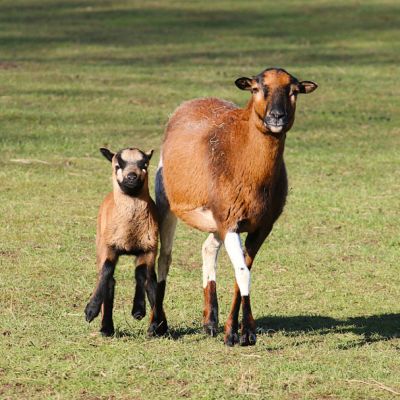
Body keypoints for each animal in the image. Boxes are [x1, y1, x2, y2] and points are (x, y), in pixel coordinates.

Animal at [153, 68, 318, 344]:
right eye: (256, 88)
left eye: (294, 90)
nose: (277, 116)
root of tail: (193, 102)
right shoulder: (229, 222)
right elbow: (242, 273)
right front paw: (241, 335)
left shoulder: (260, 225)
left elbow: (242, 274)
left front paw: (238, 330)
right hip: (167, 200)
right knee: (164, 257)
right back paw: (157, 325)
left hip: (217, 219)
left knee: (208, 248)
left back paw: (210, 322)